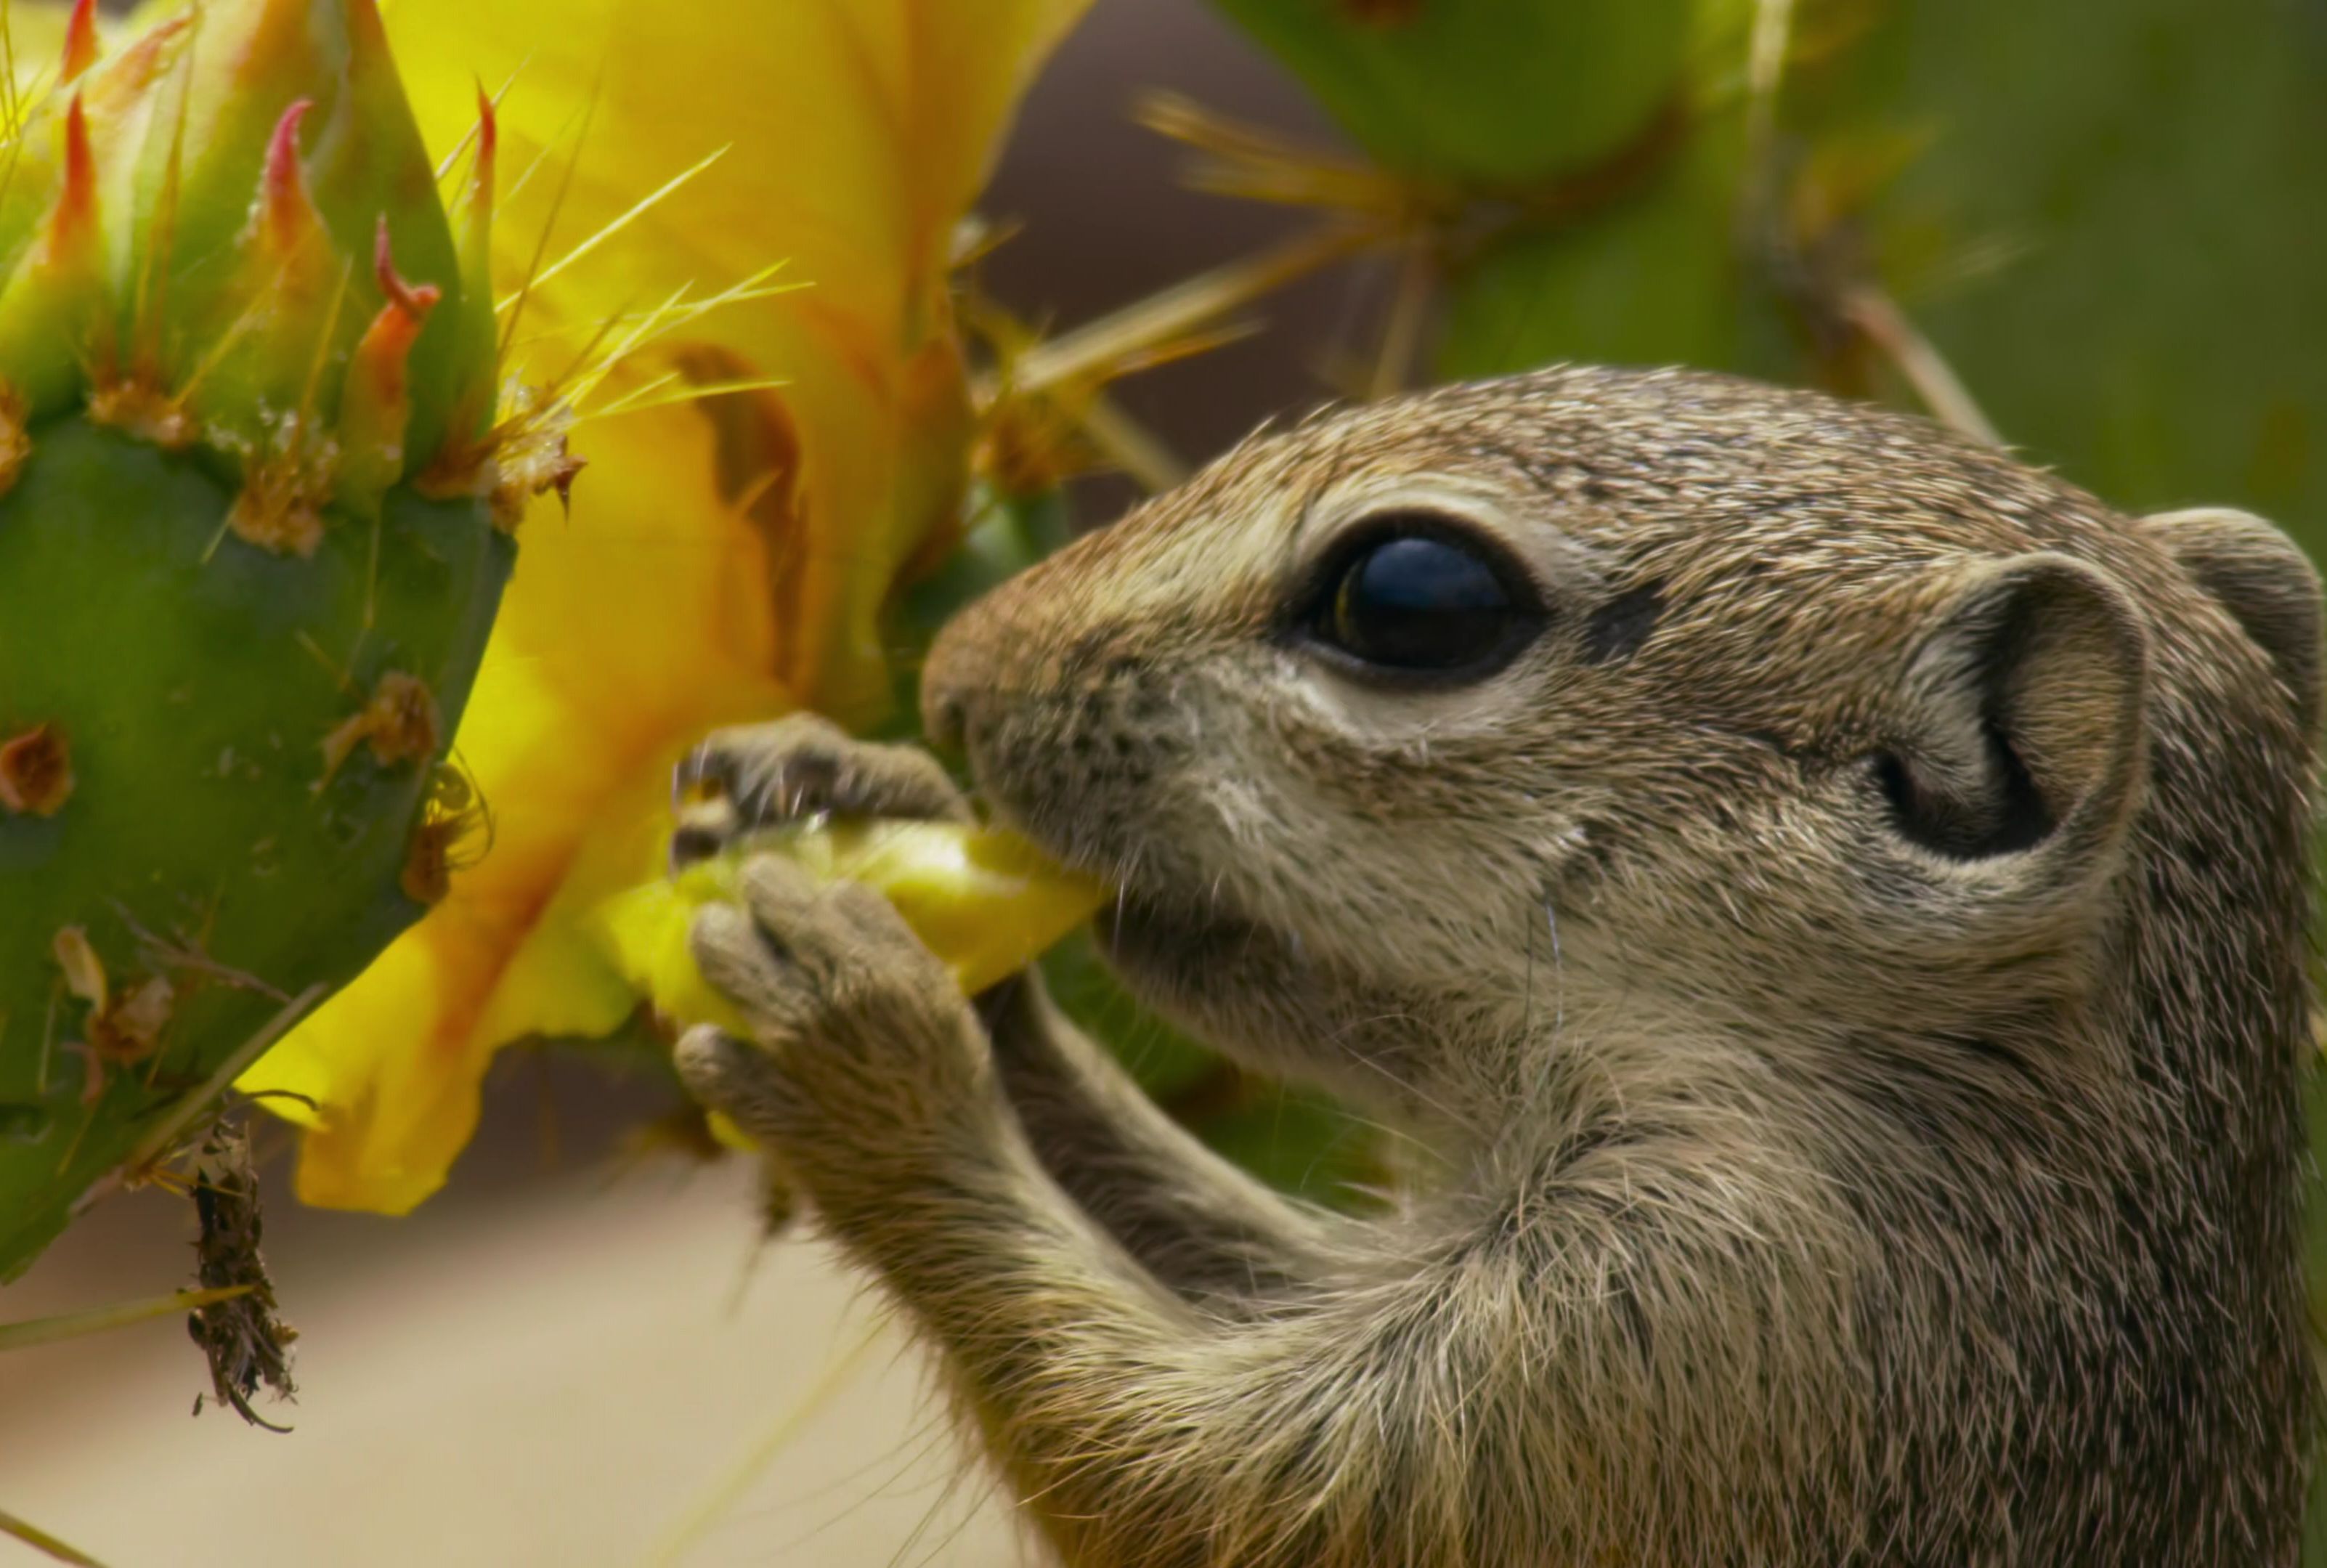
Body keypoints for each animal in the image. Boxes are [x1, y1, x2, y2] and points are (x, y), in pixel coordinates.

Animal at [665, 367, 2318, 1563]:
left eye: (1410, 597)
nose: (954, 679)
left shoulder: (1679, 1332)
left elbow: (1184, 1475)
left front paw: (869, 1044)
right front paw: (871, 827)